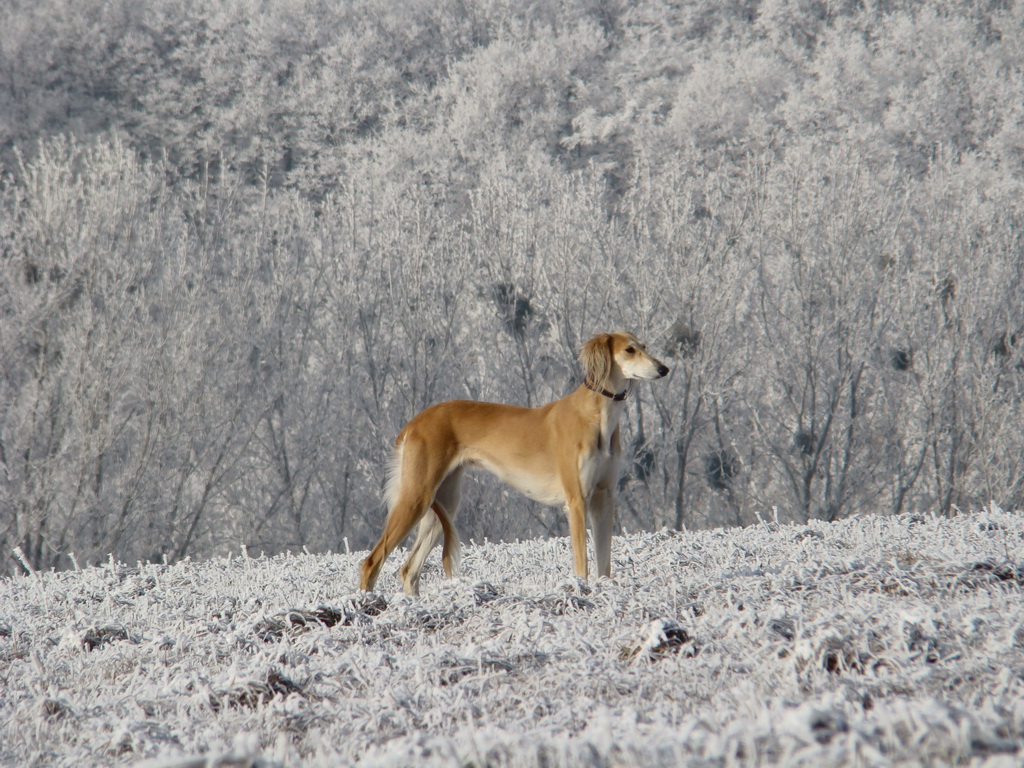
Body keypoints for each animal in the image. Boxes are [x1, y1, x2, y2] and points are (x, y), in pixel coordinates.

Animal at [362, 331, 671, 593]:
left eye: (644, 346)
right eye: (629, 350)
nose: (664, 369)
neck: (598, 417)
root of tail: (414, 422)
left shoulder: (604, 498)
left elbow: (604, 564)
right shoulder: (577, 501)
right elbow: (582, 564)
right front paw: (581, 591)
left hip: (442, 504)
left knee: (408, 570)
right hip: (416, 497)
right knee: (371, 562)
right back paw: (367, 605)